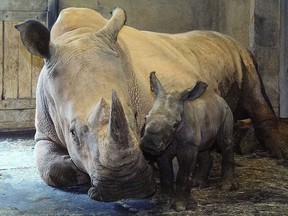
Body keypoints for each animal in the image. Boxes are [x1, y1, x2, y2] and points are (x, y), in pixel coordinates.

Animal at [141, 71, 238, 210]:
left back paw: (226, 187)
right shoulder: (163, 147)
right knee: (203, 147)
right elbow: (165, 172)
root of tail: (218, 97)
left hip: (226, 111)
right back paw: (198, 183)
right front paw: (162, 200)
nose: (149, 144)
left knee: (225, 143)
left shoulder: (188, 146)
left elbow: (184, 173)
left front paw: (180, 206)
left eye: (175, 125)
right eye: (145, 118)